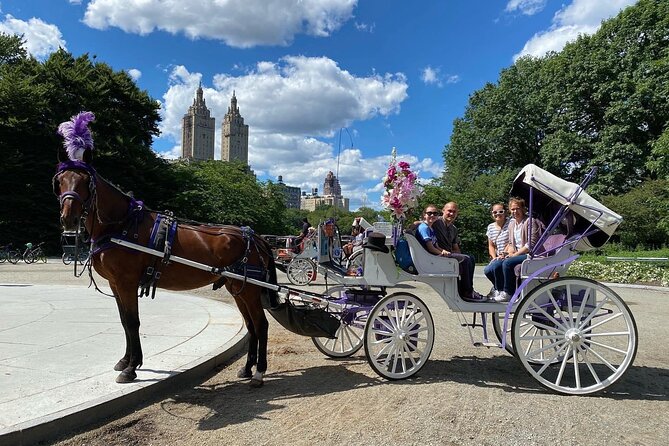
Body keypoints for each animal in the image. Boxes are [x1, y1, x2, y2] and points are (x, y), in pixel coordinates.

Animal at [51, 158, 276, 386]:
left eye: (86, 182)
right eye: (59, 182)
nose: (69, 218)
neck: (123, 225)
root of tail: (257, 238)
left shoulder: (126, 283)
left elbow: (132, 322)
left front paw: (131, 368)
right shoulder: (115, 284)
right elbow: (124, 321)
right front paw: (125, 361)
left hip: (250, 290)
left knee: (261, 325)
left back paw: (259, 373)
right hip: (237, 288)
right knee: (251, 326)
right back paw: (247, 368)